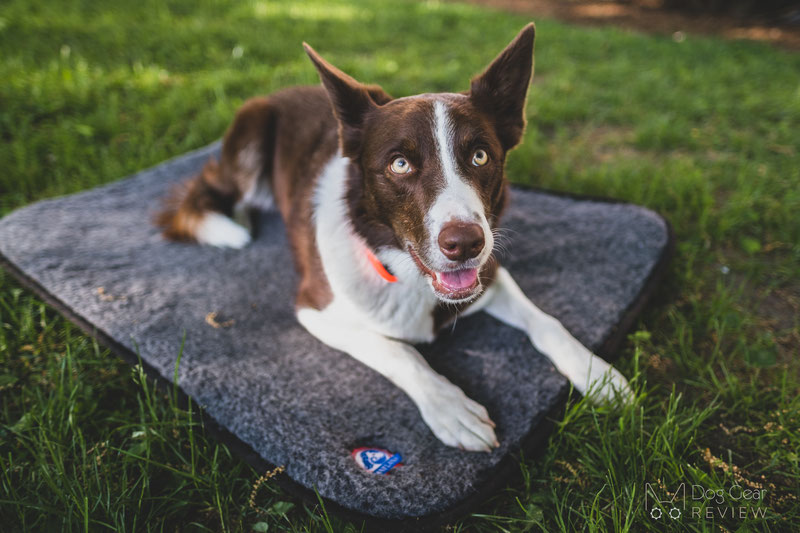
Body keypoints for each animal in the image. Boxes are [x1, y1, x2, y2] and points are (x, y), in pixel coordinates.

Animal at [156, 23, 632, 448]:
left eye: (480, 156)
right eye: (399, 164)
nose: (466, 244)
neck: (405, 272)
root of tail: (286, 89)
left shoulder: (491, 274)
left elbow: (546, 321)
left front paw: (597, 373)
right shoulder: (317, 310)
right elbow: (398, 351)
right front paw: (451, 408)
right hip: (251, 132)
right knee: (220, 189)